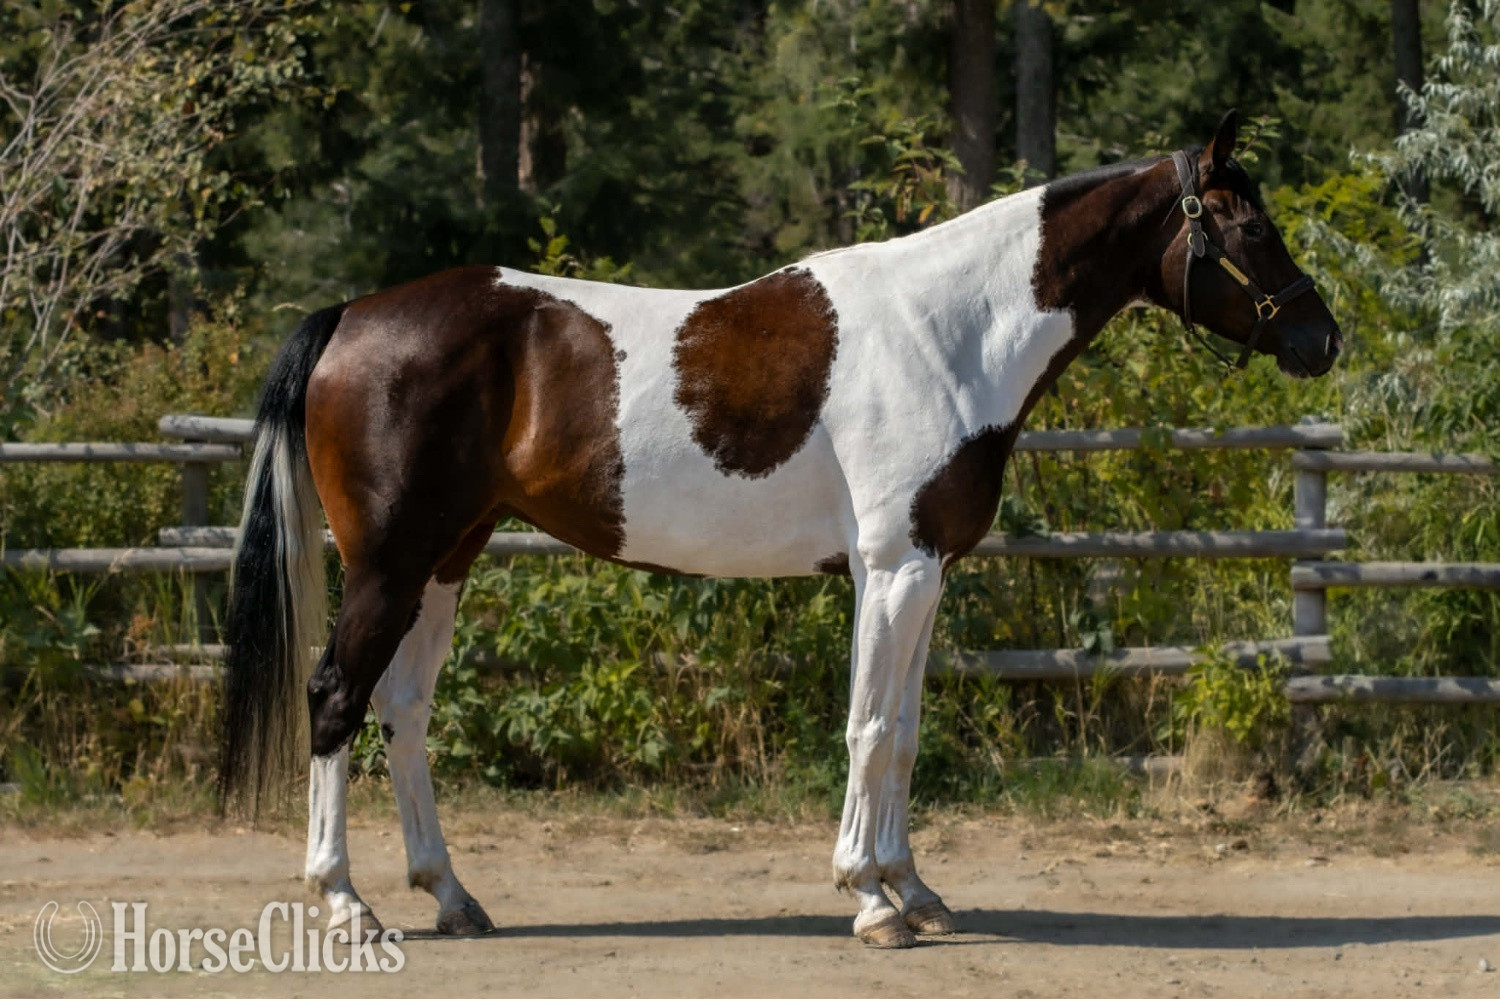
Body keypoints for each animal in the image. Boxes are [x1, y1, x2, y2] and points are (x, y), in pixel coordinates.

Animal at [218, 110, 1341, 949]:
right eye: (1247, 228)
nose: (1322, 337)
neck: (948, 332)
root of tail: (352, 316)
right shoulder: (893, 567)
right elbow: (871, 726)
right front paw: (871, 899)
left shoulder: (921, 569)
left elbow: (903, 731)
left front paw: (915, 888)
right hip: (389, 563)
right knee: (335, 698)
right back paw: (346, 903)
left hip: (448, 557)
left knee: (403, 710)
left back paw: (451, 896)